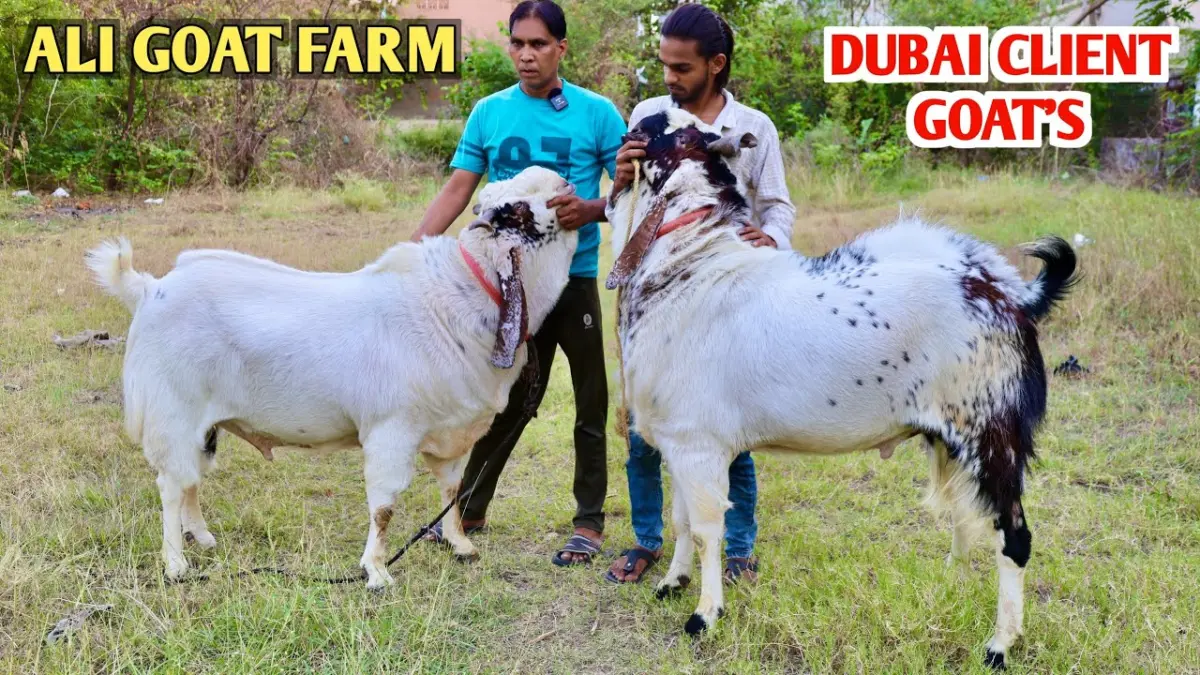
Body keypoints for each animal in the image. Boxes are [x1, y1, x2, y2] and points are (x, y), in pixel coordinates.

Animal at [86, 166, 578, 589]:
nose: (565, 182)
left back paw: (203, 539)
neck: (458, 297)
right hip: (172, 413)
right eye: (515, 208)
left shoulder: (454, 431)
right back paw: (176, 564)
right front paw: (376, 571)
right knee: (171, 485)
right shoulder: (391, 431)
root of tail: (148, 287)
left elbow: (451, 492)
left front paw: (460, 546)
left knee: (189, 478)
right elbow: (384, 507)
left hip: (202, 426)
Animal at [604, 109, 1077, 670]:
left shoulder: (700, 445)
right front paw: (673, 583)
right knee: (965, 513)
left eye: (672, 134)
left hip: (992, 431)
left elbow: (704, 531)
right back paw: (952, 581)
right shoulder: (678, 441)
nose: (629, 133)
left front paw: (704, 616)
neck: (693, 264)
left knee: (1015, 537)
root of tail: (1015, 297)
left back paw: (1000, 644)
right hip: (951, 435)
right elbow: (679, 520)